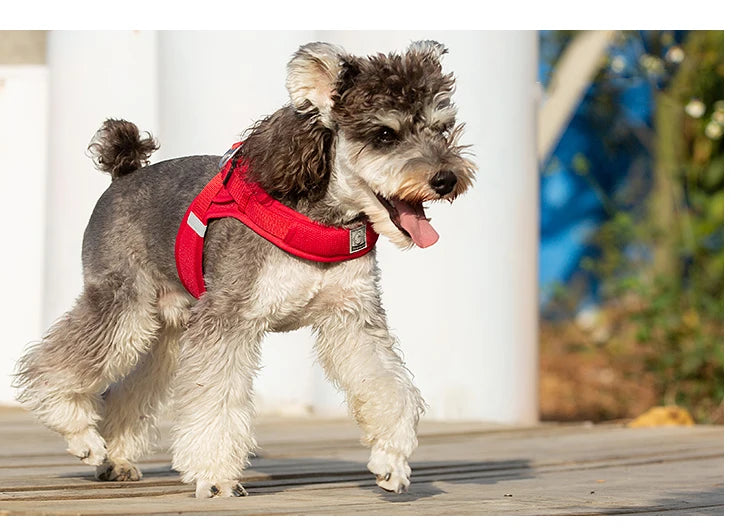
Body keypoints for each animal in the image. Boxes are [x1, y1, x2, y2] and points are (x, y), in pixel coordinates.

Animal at [14, 41, 476, 500]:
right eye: (384, 134)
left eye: (442, 128)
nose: (446, 179)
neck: (317, 217)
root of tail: (123, 175)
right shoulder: (228, 320)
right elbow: (215, 402)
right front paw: (215, 476)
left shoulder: (354, 320)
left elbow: (389, 386)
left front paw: (391, 459)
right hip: (121, 305)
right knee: (53, 365)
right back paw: (82, 436)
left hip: (164, 331)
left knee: (130, 391)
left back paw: (117, 457)